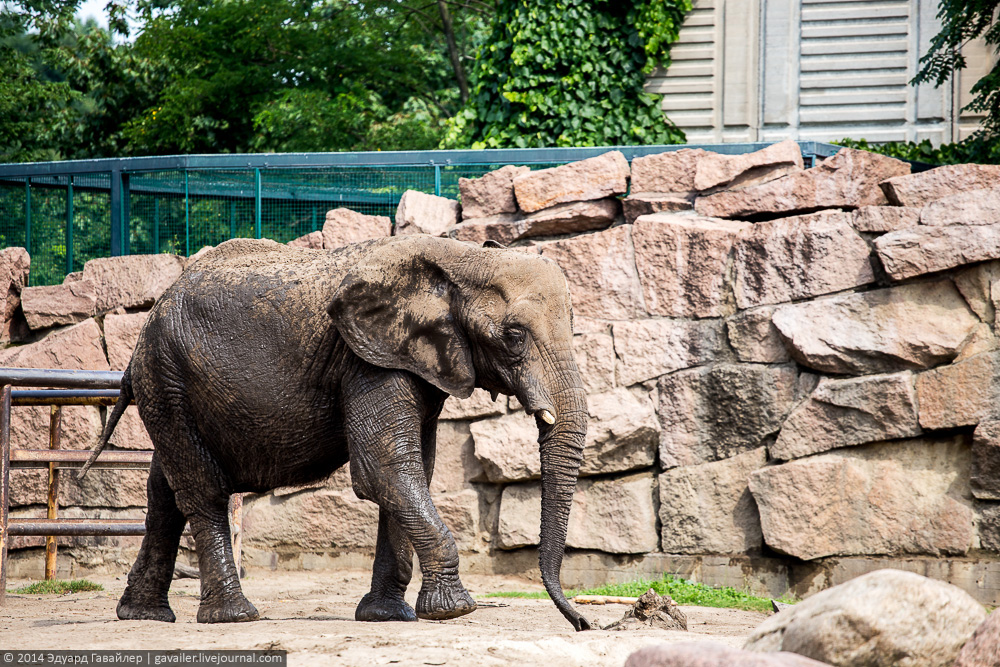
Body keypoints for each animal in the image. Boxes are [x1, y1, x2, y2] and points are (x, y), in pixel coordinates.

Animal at [84, 234, 592, 632]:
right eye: (514, 336)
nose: (583, 623)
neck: (459, 259)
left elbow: (413, 473)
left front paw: (387, 617)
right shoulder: (366, 358)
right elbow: (384, 470)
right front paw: (453, 611)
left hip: (168, 386)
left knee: (163, 491)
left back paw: (143, 616)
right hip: (165, 375)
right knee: (201, 490)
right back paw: (234, 616)